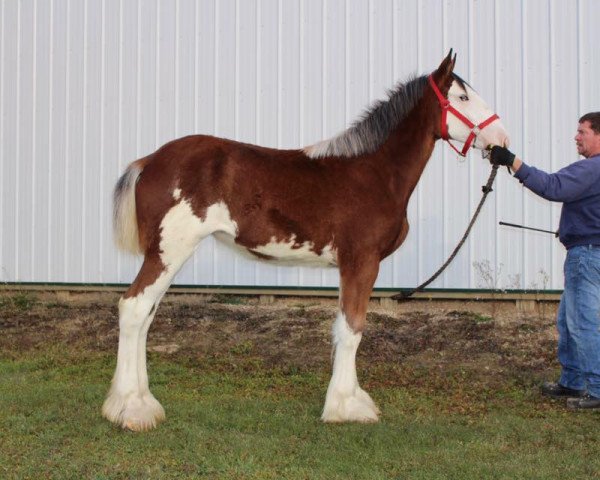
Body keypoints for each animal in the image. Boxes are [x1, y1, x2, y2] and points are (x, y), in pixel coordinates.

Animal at [104, 50, 510, 430]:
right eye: (461, 97)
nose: (502, 141)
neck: (374, 172)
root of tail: (149, 161)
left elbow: (346, 327)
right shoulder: (361, 262)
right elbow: (352, 329)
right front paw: (345, 407)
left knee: (146, 316)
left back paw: (138, 403)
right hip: (169, 250)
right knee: (134, 308)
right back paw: (132, 409)